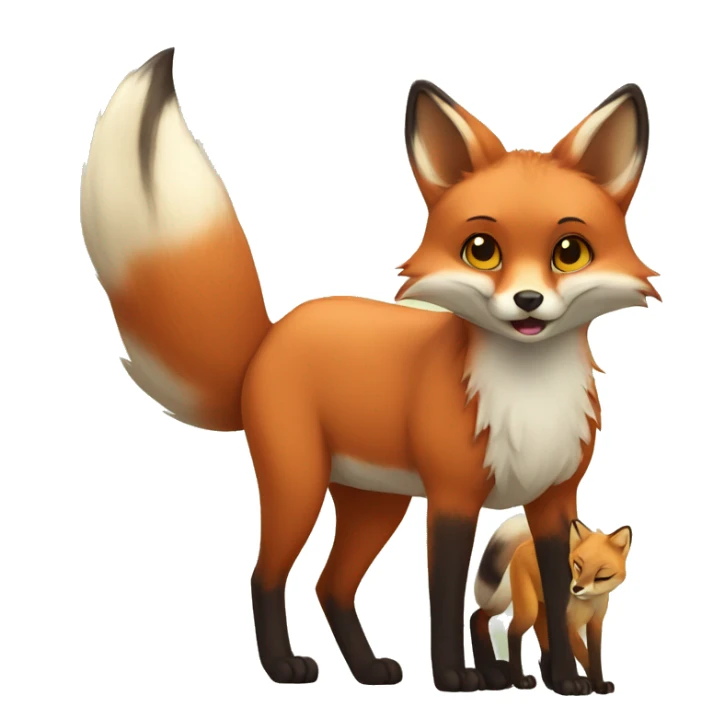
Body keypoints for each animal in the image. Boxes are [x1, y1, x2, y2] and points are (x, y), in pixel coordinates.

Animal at [471, 514, 632, 694]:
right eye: (577, 565)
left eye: (602, 576)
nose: (576, 589)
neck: (589, 603)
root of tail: (524, 544)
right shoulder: (569, 625)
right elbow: (584, 654)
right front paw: (589, 683)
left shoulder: (596, 623)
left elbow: (595, 657)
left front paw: (599, 684)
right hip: (529, 611)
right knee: (511, 632)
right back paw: (519, 680)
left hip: (541, 612)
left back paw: (549, 681)